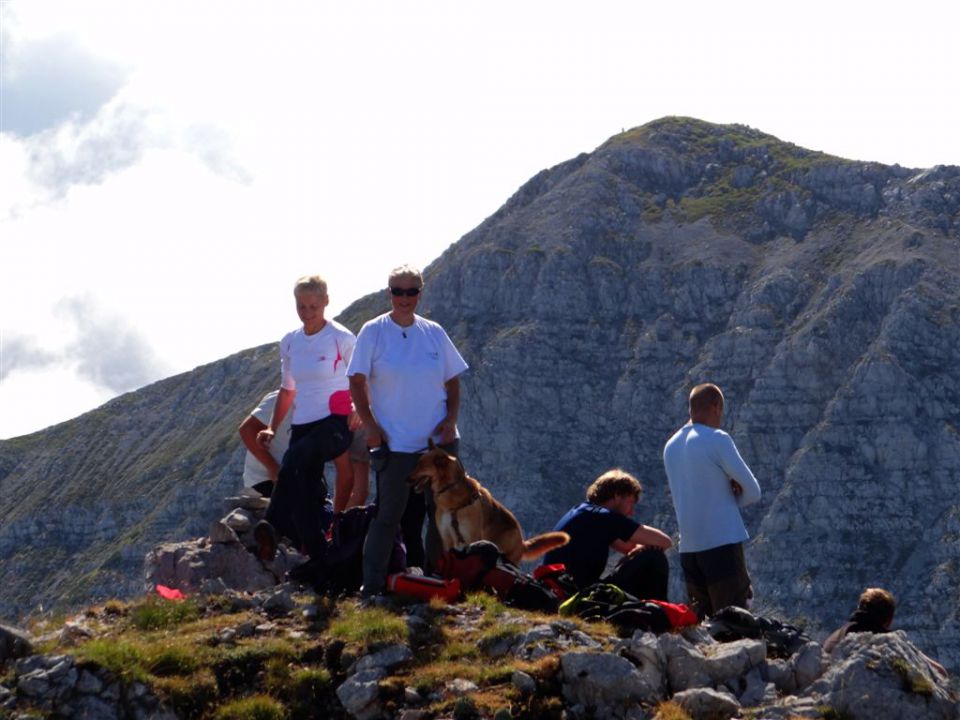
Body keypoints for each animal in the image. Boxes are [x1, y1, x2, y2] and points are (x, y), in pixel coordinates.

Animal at [406, 438, 568, 568]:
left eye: (421, 465)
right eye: (417, 463)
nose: (406, 480)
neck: (451, 489)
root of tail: (522, 541)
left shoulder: (472, 539)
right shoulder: (447, 541)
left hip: (507, 558)